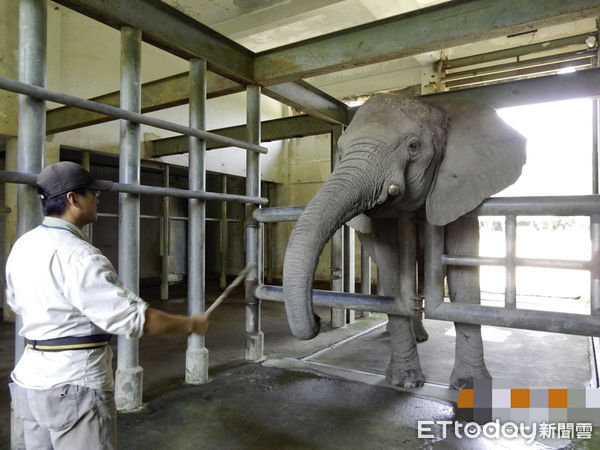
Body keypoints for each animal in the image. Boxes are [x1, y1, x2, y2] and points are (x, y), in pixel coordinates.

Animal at [282, 92, 524, 390]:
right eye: (340, 152)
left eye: (413, 146)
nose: (317, 319)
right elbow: (391, 269)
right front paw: (405, 382)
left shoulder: (458, 189)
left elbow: (464, 273)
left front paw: (471, 386)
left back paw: (421, 336)